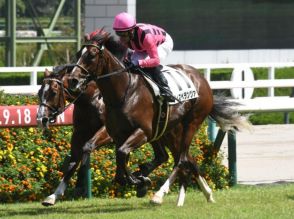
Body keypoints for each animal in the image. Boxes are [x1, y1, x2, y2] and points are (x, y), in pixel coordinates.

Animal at [69, 30, 250, 205]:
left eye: (91, 55)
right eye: (78, 53)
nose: (73, 80)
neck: (123, 92)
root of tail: (201, 79)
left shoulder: (143, 131)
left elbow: (121, 154)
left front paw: (139, 181)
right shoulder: (118, 134)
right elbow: (118, 164)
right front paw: (139, 179)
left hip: (191, 122)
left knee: (181, 159)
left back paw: (159, 194)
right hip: (165, 131)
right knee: (176, 157)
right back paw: (201, 195)